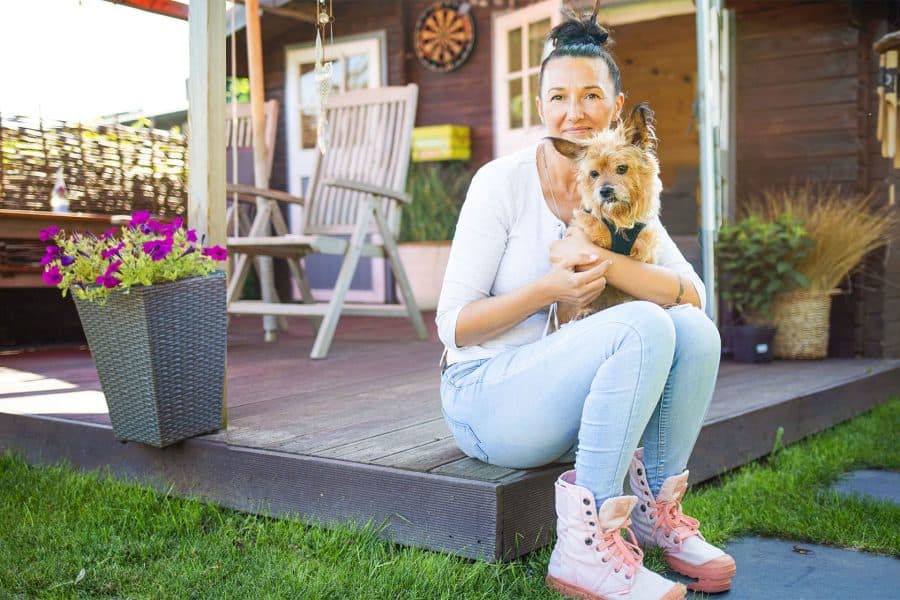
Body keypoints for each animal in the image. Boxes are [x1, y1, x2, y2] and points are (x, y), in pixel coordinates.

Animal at [548, 102, 660, 324]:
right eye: (594, 174)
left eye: (622, 168)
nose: (605, 191)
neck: (619, 221)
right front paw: (584, 310)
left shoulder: (644, 255)